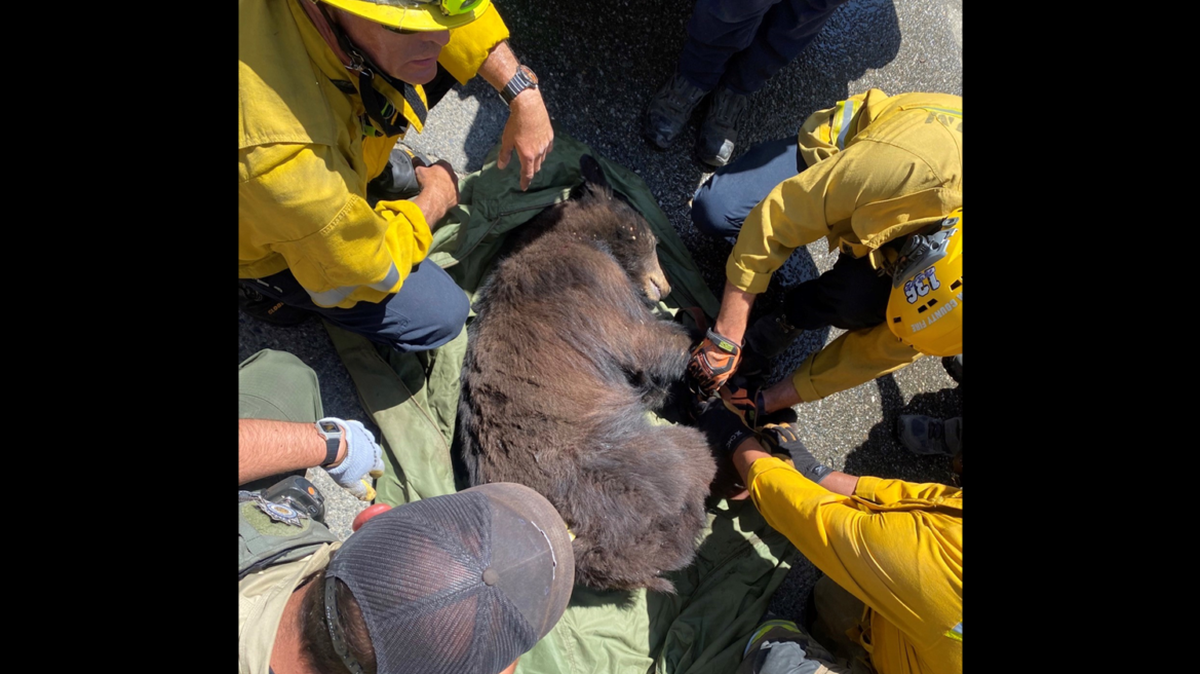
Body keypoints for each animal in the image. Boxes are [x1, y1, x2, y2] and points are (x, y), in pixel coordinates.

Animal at [457, 155, 717, 593]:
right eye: (652, 241)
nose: (665, 288)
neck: (574, 235)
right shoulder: (592, 280)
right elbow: (644, 340)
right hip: (634, 466)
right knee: (691, 461)